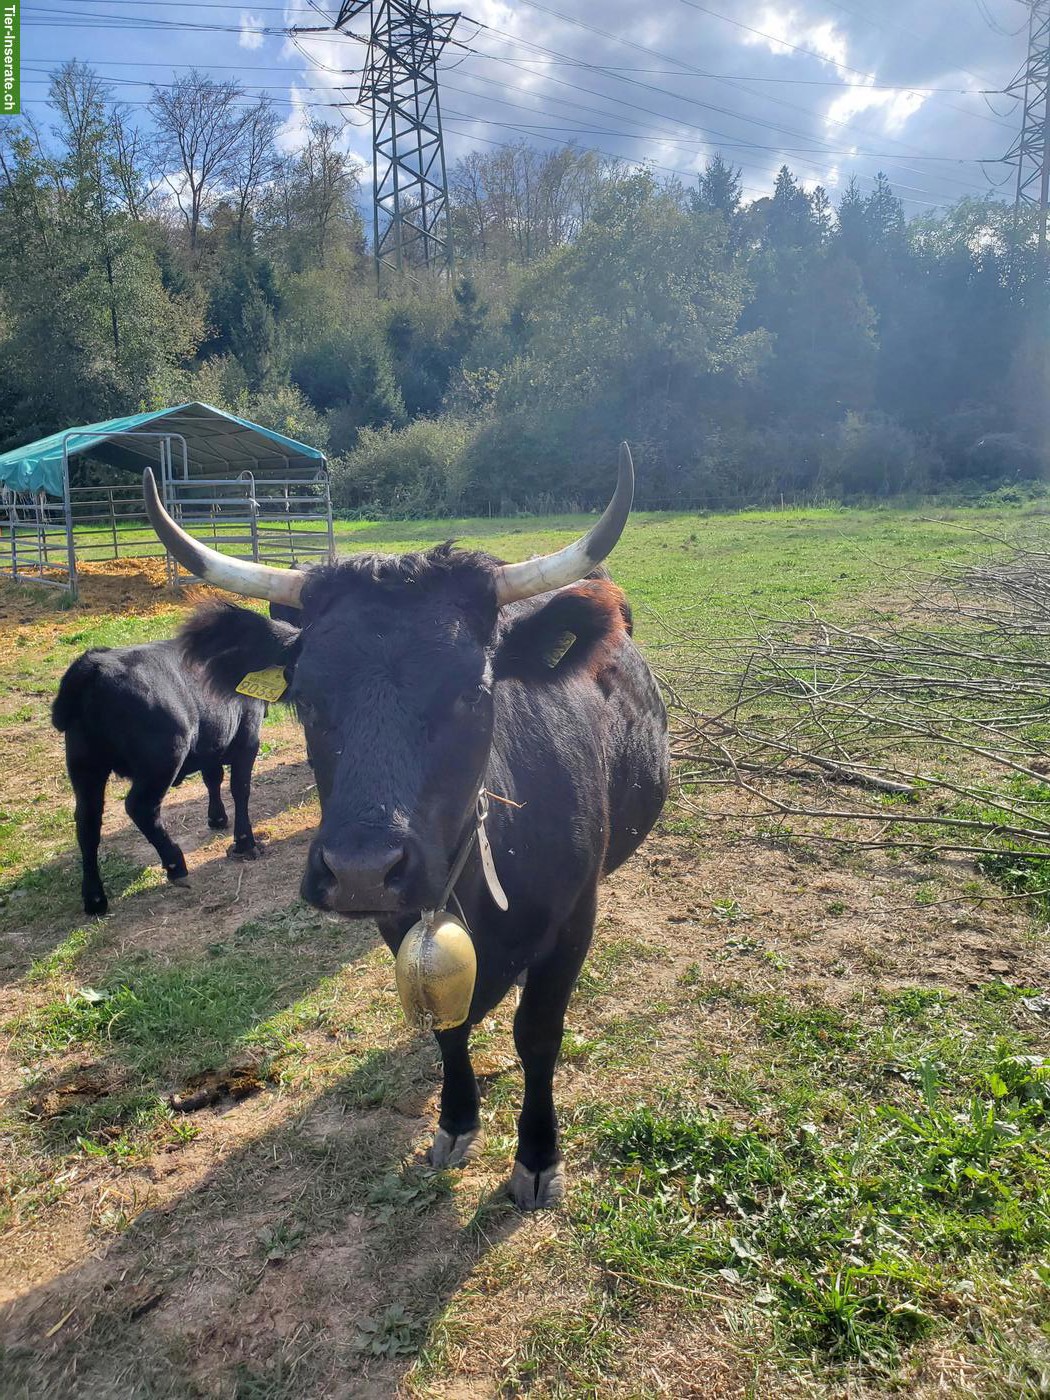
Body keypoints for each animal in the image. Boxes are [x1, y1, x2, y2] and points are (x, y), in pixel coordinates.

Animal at [52, 641, 266, 915]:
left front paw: (217, 818)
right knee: (140, 808)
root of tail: (94, 666)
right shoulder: (247, 735)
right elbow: (240, 787)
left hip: (85, 765)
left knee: (87, 821)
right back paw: (175, 864)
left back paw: (94, 897)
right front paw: (245, 842)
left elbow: (212, 778)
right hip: (162, 760)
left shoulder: (211, 742)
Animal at [144, 447, 669, 1209]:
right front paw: (456, 1119)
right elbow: (448, 1027)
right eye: (305, 696)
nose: (362, 869)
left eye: (473, 691)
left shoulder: (575, 916)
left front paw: (538, 1156)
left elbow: (537, 1033)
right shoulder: (397, 920)